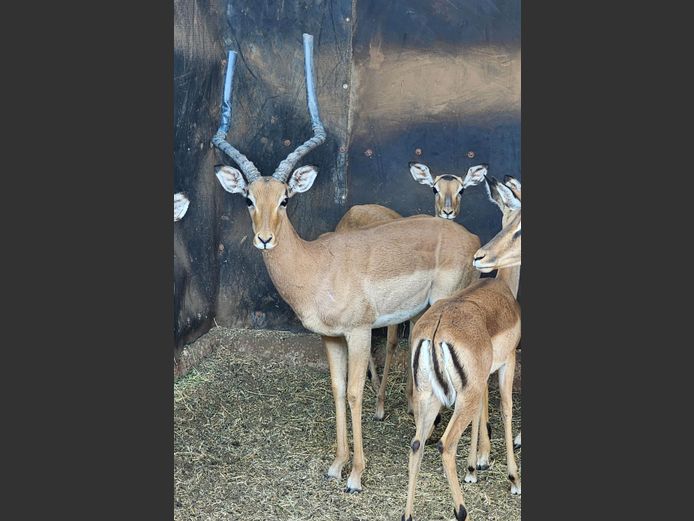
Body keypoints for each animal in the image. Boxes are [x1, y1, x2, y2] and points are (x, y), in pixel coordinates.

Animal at [212, 34, 481, 493]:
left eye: (285, 199)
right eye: (249, 198)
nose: (264, 238)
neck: (316, 265)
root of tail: (471, 238)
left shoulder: (358, 333)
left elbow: (355, 392)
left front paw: (356, 474)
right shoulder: (331, 338)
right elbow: (337, 390)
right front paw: (336, 465)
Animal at [402, 176, 522, 521]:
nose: (482, 256)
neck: (504, 289)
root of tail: (435, 331)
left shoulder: (481, 378)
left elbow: (484, 411)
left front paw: (475, 466)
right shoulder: (506, 363)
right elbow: (506, 409)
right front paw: (512, 478)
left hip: (429, 396)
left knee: (417, 444)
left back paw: (408, 514)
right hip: (458, 399)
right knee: (445, 444)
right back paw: (461, 509)